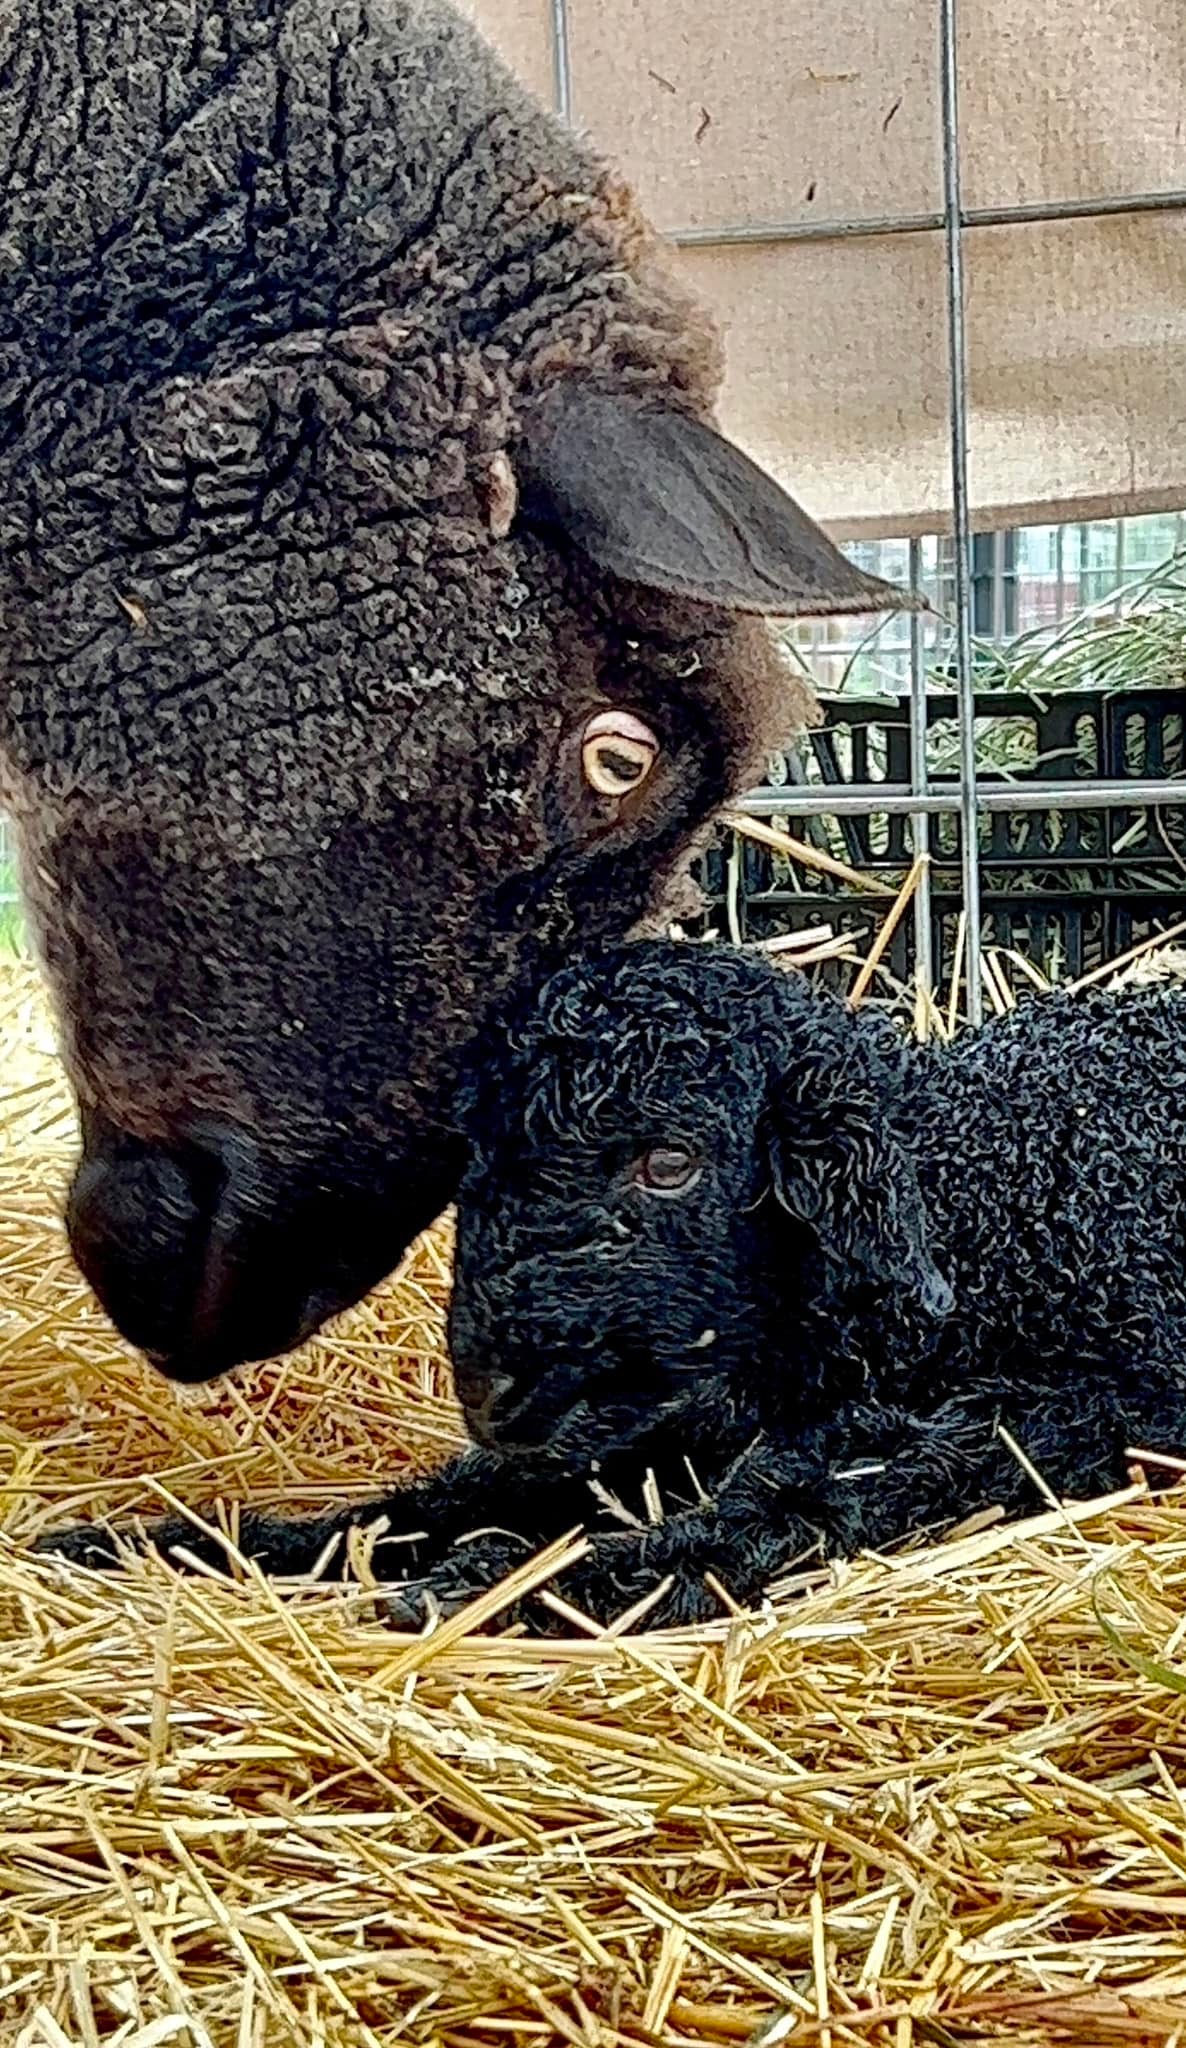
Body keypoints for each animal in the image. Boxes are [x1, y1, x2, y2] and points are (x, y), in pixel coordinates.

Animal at [41, 941, 1186, 1631]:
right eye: (478, 1156)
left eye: (669, 1161)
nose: (493, 1391)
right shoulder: (645, 1419)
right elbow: (438, 1499)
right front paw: (155, 1542)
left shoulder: (1084, 1410)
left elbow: (824, 1498)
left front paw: (551, 1582)